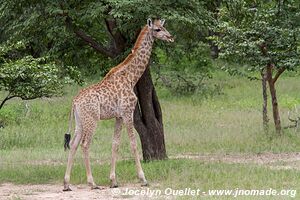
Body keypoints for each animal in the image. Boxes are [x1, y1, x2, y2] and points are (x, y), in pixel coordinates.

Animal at [63, 19, 173, 192]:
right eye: (157, 29)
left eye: (164, 27)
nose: (170, 37)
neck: (131, 77)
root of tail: (74, 101)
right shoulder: (128, 112)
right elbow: (133, 143)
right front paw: (143, 179)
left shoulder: (118, 116)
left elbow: (115, 144)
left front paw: (113, 181)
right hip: (92, 120)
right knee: (85, 144)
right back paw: (92, 183)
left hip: (80, 121)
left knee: (73, 144)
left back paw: (67, 183)